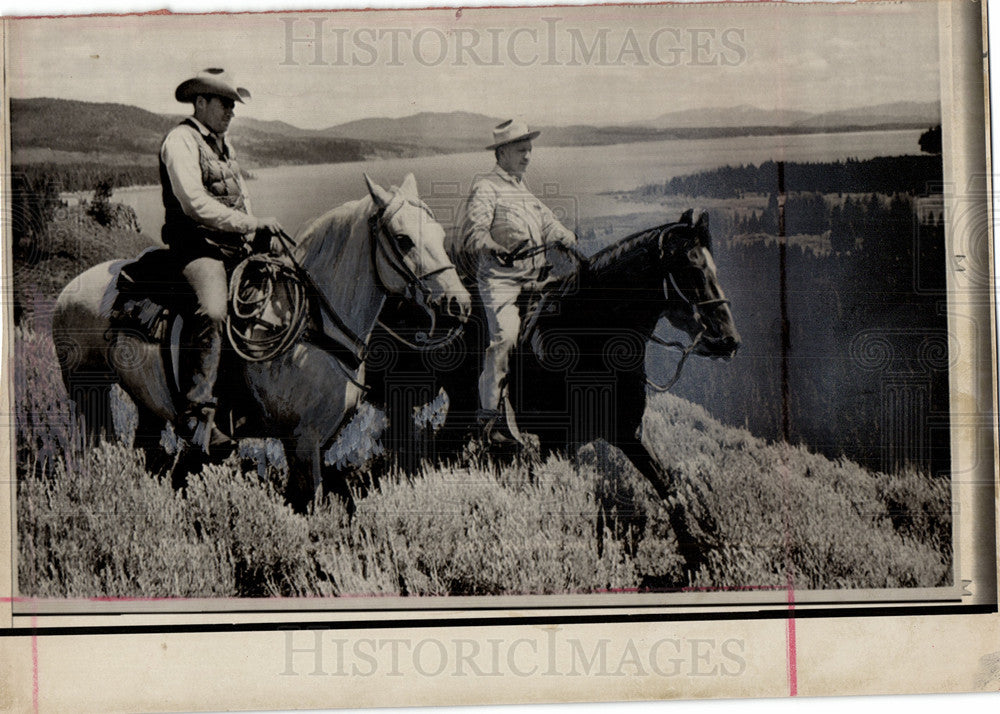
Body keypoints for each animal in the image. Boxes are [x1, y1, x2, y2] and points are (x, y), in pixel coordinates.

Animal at [52, 172, 474, 506]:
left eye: (439, 233)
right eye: (403, 240)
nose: (459, 304)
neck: (313, 326)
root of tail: (69, 290)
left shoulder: (320, 440)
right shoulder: (301, 441)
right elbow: (309, 503)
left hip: (146, 404)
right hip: (84, 390)